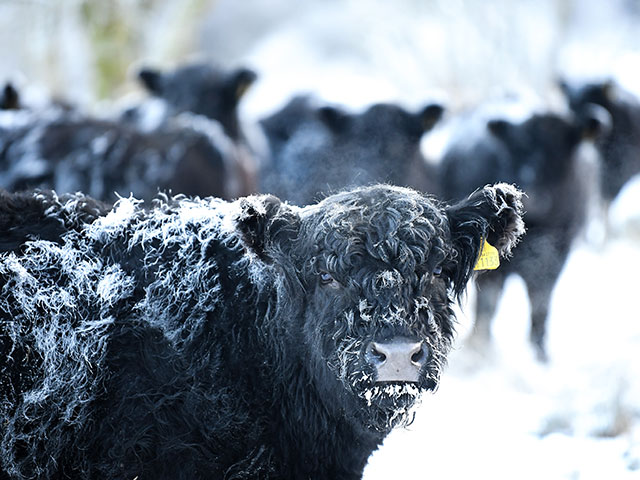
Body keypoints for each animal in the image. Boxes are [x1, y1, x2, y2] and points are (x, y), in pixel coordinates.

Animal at [438, 108, 608, 360]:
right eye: (515, 149)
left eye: (562, 149)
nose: (536, 195)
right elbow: (488, 305)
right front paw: (481, 347)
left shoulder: (553, 259)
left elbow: (540, 306)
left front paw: (541, 354)